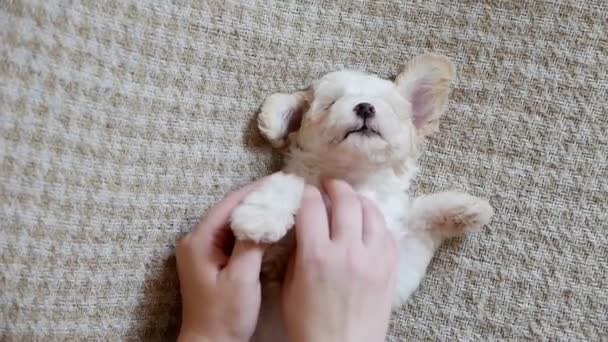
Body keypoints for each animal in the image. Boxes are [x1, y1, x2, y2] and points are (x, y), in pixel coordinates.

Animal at [230, 54, 492, 342]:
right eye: (331, 103)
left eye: (388, 106)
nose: (365, 106)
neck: (355, 179)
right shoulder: (271, 264)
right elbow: (293, 183)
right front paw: (260, 216)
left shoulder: (396, 269)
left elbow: (419, 218)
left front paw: (465, 208)